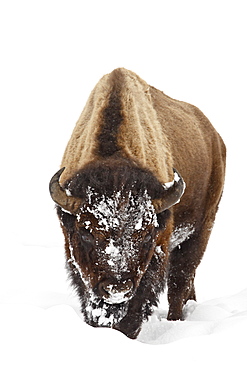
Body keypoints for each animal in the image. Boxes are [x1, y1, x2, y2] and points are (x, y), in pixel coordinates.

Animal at [49, 68, 226, 340]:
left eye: (145, 233)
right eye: (86, 231)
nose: (117, 289)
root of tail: (215, 138)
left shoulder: (156, 253)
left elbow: (138, 305)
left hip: (201, 229)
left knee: (180, 281)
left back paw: (175, 321)